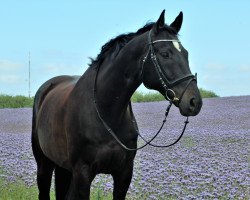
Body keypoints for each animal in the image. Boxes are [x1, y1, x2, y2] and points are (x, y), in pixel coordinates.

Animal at [31, 11, 203, 200]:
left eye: (185, 54)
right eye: (165, 53)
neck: (105, 111)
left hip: (63, 168)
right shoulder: (82, 174)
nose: (194, 102)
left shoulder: (124, 173)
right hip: (44, 165)